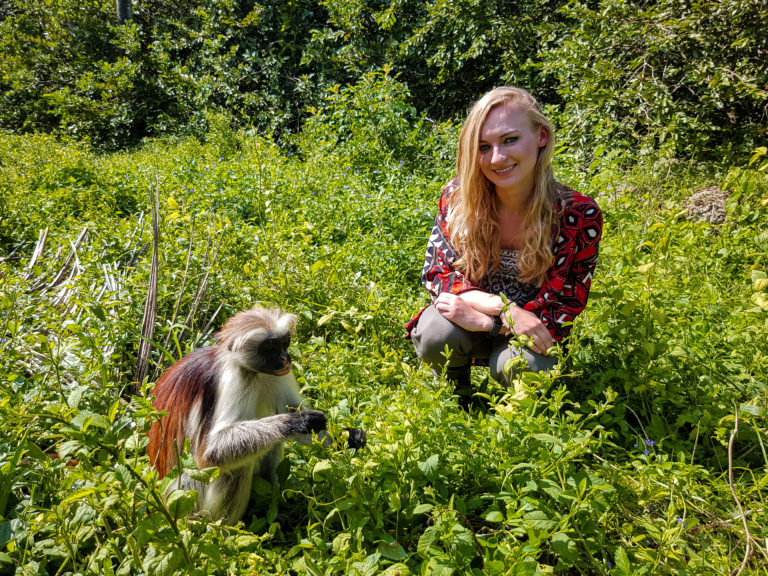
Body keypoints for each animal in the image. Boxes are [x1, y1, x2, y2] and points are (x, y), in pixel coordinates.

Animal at [148, 308, 356, 524]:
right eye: (270, 346)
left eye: (284, 342)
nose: (286, 358)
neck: (247, 368)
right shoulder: (235, 377)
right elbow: (209, 452)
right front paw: (298, 421)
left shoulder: (274, 373)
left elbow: (293, 410)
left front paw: (348, 438)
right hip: (188, 493)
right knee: (237, 465)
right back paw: (222, 528)